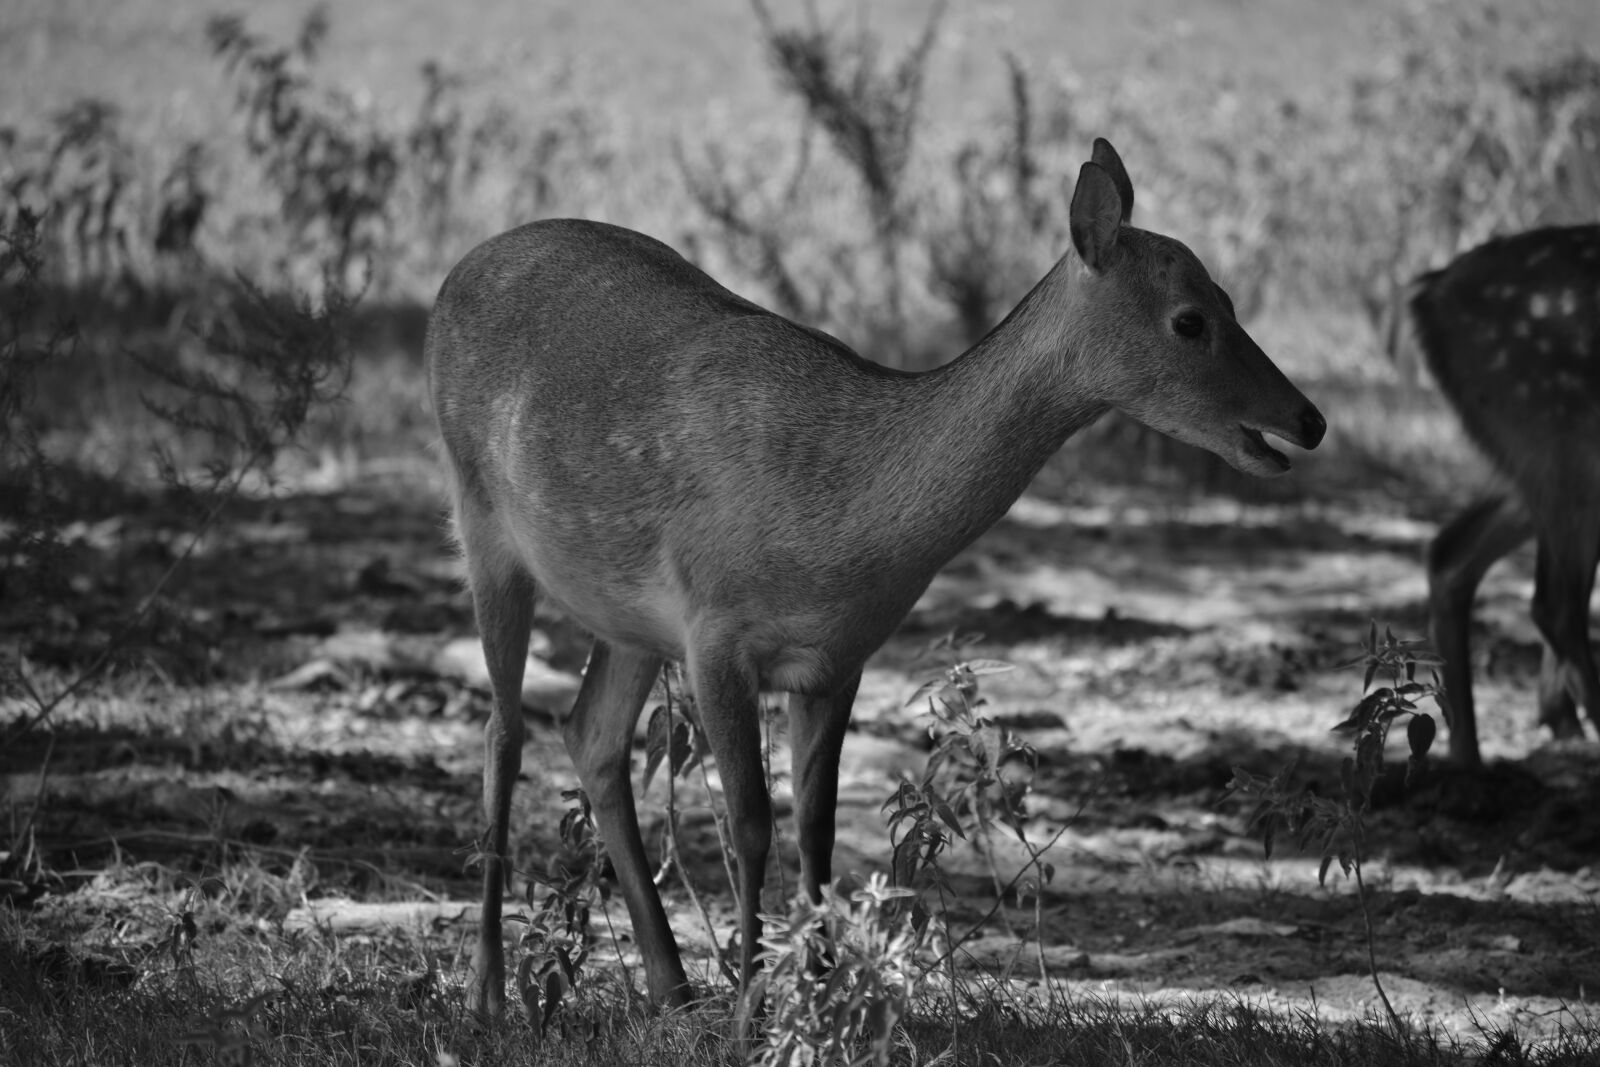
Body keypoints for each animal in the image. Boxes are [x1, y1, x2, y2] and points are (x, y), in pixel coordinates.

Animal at [425, 138, 1326, 1021]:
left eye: (1230, 297)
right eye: (1190, 319)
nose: (1310, 419)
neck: (843, 529)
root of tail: (457, 271)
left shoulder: (838, 657)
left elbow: (817, 831)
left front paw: (819, 1003)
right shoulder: (715, 627)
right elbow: (750, 822)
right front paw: (753, 1012)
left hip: (625, 615)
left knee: (591, 734)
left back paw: (672, 989)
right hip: (480, 519)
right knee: (505, 731)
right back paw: (488, 993)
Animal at [1401, 224, 1600, 768]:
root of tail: (1426, 295)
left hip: (1533, 457)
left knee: (1449, 553)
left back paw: (1468, 759)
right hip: (1562, 434)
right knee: (1556, 604)